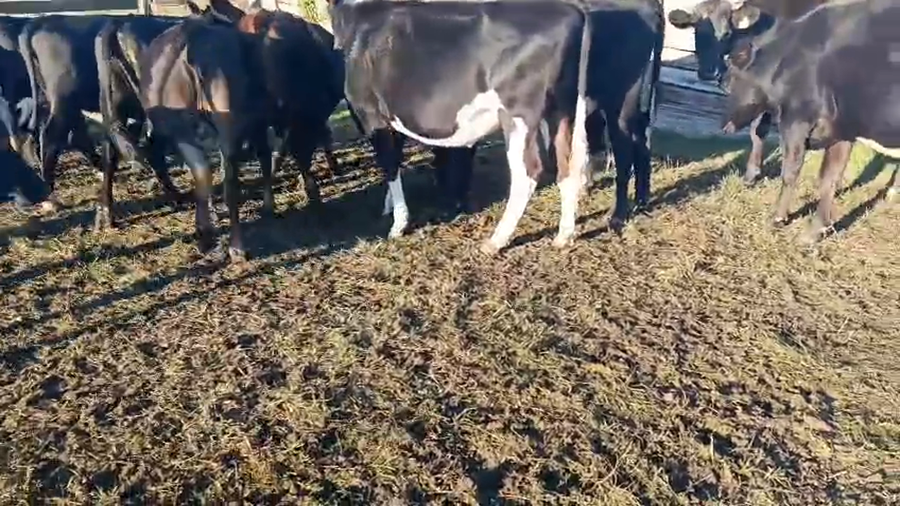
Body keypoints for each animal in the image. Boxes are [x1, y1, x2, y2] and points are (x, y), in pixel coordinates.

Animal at [137, 17, 271, 261]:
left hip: (186, 133)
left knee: (205, 174)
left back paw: (210, 235)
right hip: (224, 130)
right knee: (227, 180)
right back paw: (235, 245)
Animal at [328, 0, 592, 254]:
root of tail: (571, 10)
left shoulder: (371, 116)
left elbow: (390, 167)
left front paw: (398, 224)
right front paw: (389, 206)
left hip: (519, 114)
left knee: (528, 172)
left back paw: (496, 241)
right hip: (561, 111)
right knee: (567, 167)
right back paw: (564, 236)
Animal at [667, 0, 827, 184]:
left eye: (727, 33)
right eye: (696, 31)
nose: (709, 72)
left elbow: (759, 129)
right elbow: (756, 131)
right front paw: (752, 174)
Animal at [720, 0, 900, 243]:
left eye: (731, 81)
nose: (724, 125)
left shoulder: (796, 119)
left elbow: (790, 170)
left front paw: (778, 218)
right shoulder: (842, 130)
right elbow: (829, 178)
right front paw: (816, 231)